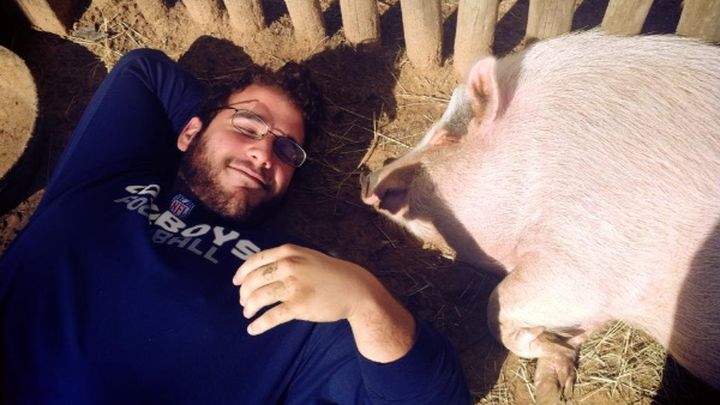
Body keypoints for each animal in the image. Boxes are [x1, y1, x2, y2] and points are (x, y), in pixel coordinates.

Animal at [361, 30, 720, 403]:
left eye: (448, 138)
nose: (367, 179)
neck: (533, 166)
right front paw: (553, 387)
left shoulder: (585, 260)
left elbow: (497, 305)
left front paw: (551, 380)